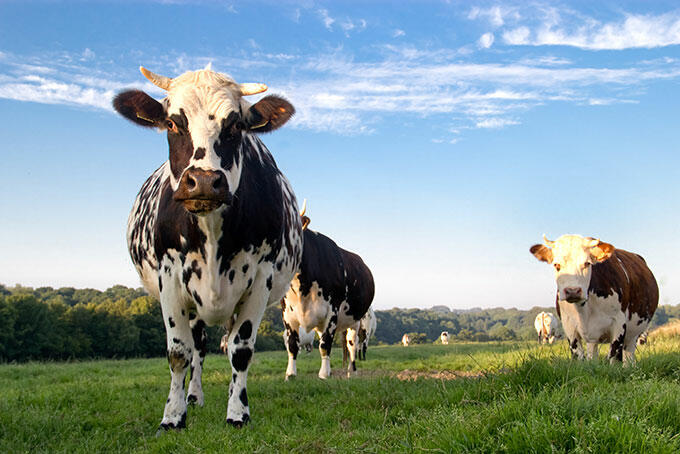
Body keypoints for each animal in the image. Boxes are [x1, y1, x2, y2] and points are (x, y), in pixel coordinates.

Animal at [113, 66, 302, 430]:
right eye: (172, 123)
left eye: (237, 125)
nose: (203, 181)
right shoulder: (170, 279)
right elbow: (179, 352)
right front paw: (173, 416)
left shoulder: (260, 280)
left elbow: (241, 351)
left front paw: (238, 412)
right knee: (198, 348)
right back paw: (194, 396)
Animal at [282, 205, 374, 379]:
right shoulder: (288, 315)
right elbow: (292, 345)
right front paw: (290, 374)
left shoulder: (332, 311)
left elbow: (325, 344)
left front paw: (324, 374)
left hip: (356, 321)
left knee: (352, 345)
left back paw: (352, 371)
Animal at [530, 234, 658, 363]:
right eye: (556, 265)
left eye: (587, 263)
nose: (572, 291)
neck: (583, 311)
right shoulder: (569, 326)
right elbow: (579, 358)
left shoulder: (619, 324)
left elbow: (614, 358)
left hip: (634, 332)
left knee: (629, 355)